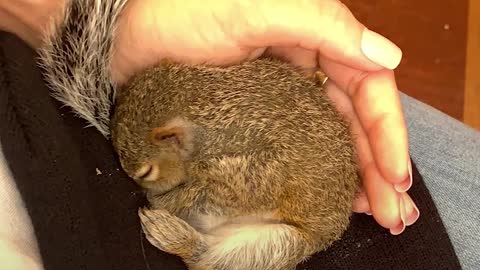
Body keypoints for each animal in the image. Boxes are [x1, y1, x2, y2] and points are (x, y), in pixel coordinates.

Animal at [110, 58, 360, 268]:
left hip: (277, 245)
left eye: (146, 173)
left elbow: (234, 192)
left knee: (209, 259)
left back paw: (172, 233)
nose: (139, 186)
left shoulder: (258, 170)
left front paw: (164, 199)